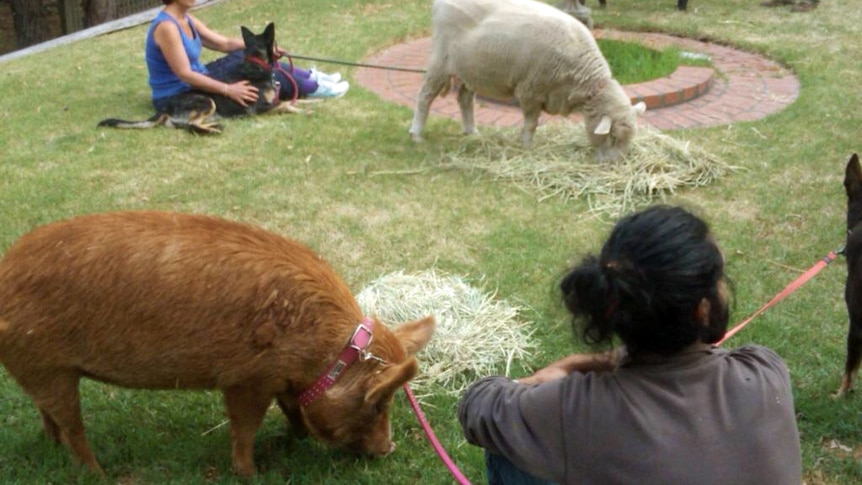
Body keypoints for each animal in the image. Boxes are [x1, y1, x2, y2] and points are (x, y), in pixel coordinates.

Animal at [0, 210, 436, 474]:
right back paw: (100, 472)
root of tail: (4, 269)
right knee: (72, 427)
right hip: (45, 366)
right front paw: (251, 473)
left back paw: (54, 446)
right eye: (378, 401)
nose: (389, 449)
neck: (326, 352)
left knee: (49, 415)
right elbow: (244, 427)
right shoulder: (246, 379)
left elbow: (292, 408)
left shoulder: (282, 380)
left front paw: (295, 438)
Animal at [95, 22, 302, 134]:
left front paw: (306, 105)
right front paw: (303, 112)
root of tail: (165, 107)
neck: (256, 63)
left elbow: (293, 101)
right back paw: (213, 130)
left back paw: (214, 125)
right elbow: (286, 104)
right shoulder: (258, 108)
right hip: (207, 101)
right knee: (191, 125)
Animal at [412, 0, 648, 162]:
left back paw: (472, 132)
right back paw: (416, 134)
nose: (613, 165)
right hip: (441, 61)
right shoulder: (530, 90)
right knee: (425, 96)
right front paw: (526, 146)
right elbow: (532, 123)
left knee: (464, 98)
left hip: (471, 69)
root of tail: (439, 4)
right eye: (613, 137)